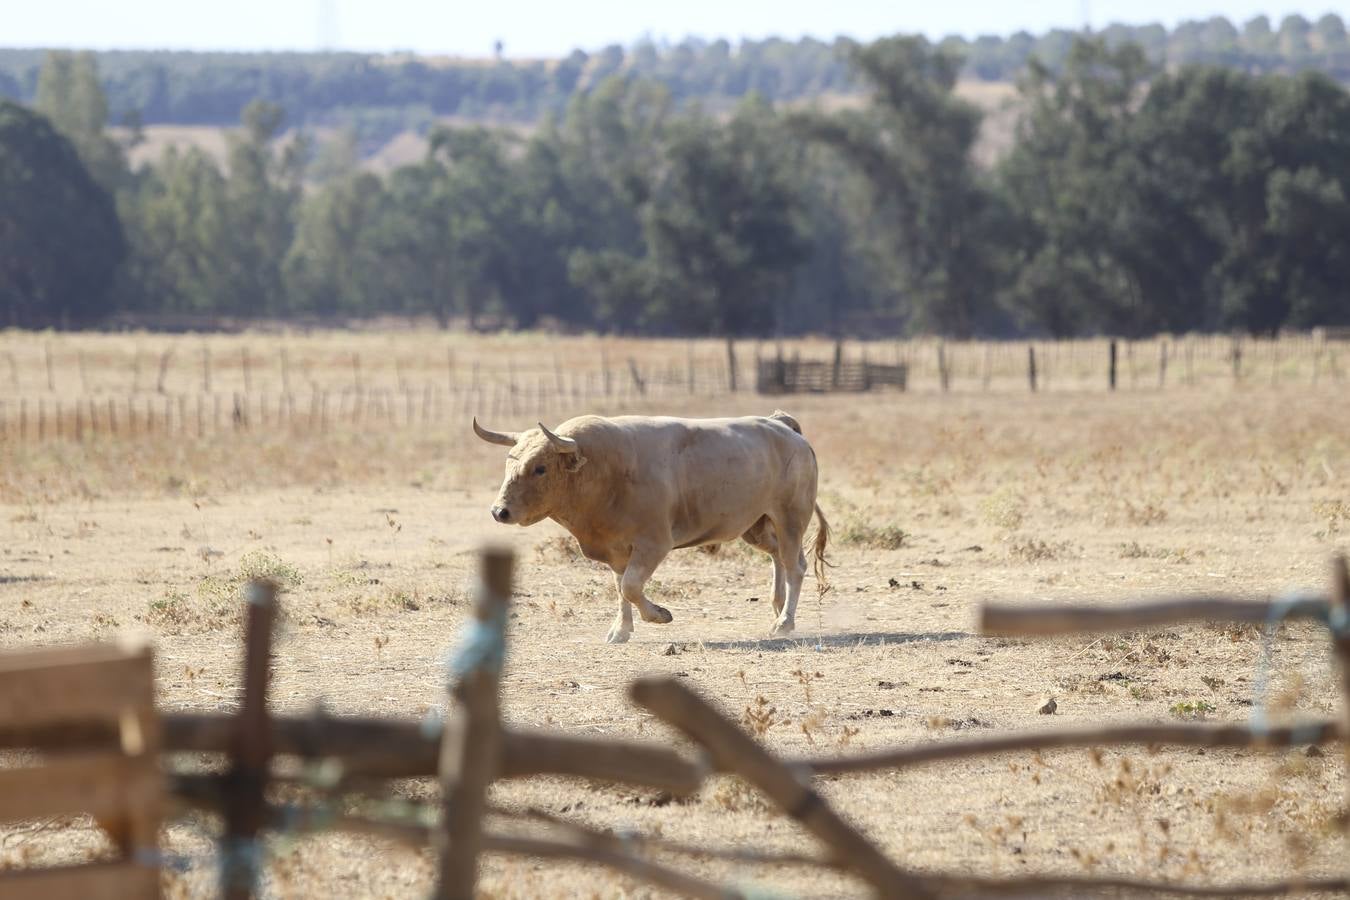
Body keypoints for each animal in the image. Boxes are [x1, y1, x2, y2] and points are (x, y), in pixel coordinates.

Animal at [475, 412, 831, 644]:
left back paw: (785, 621)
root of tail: (782, 425)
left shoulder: (654, 543)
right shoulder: (616, 549)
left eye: (540, 468)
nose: (499, 511)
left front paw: (659, 615)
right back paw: (777, 606)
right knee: (778, 556)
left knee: (795, 565)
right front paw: (621, 630)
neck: (604, 471)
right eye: (509, 462)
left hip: (790, 517)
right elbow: (620, 588)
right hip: (756, 525)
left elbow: (631, 586)